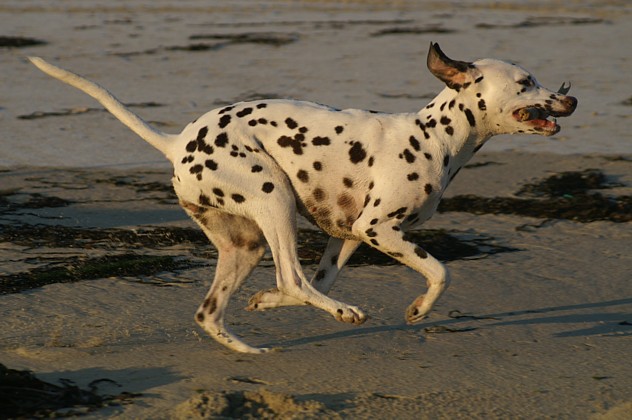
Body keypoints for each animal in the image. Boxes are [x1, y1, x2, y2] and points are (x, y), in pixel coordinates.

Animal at [29, 42, 576, 352]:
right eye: (526, 82)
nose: (570, 97)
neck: (433, 137)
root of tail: (177, 142)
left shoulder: (348, 236)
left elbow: (318, 281)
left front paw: (269, 304)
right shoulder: (377, 229)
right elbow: (440, 271)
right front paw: (420, 309)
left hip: (246, 244)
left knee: (217, 310)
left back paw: (250, 349)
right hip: (274, 199)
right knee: (289, 275)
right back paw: (344, 315)